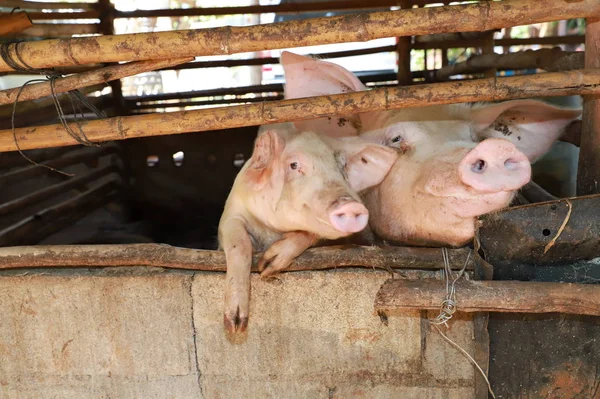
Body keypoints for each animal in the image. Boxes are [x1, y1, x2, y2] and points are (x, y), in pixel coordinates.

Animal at [218, 123, 396, 332]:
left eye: (342, 167)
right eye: (294, 165)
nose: (351, 205)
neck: (272, 231)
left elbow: (308, 234)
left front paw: (268, 265)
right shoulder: (231, 214)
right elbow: (239, 244)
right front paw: (235, 325)